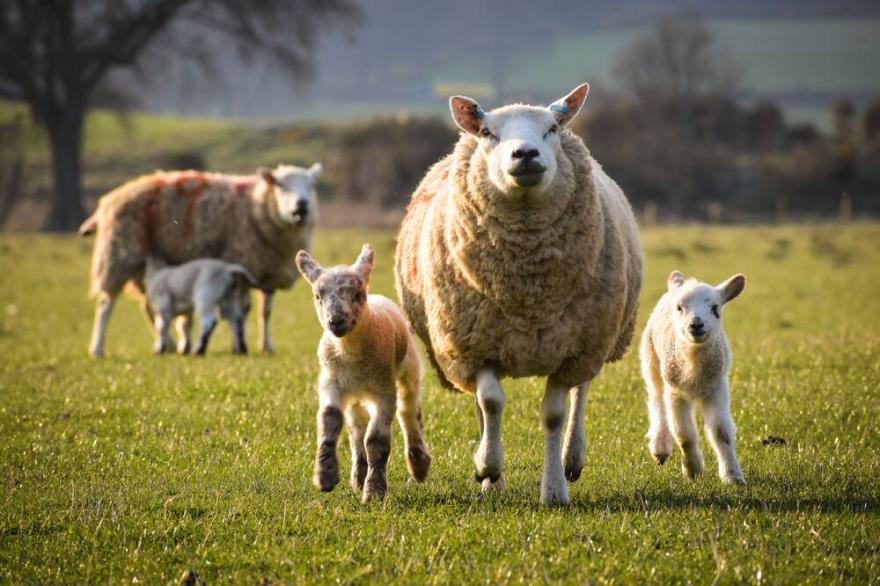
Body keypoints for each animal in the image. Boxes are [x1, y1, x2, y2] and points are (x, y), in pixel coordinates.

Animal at [81, 163, 322, 356]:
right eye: (281, 185)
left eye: (311, 185)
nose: (302, 204)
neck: (255, 208)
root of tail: (110, 199)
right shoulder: (242, 261)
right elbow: (242, 310)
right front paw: (238, 345)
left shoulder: (268, 271)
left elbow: (265, 312)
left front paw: (266, 346)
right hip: (118, 257)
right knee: (106, 305)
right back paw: (98, 348)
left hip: (143, 268)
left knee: (149, 308)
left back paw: (170, 345)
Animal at [298, 244, 432, 500]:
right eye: (318, 296)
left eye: (357, 294)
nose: (336, 320)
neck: (350, 353)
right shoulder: (330, 382)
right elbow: (329, 420)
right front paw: (325, 475)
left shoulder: (384, 391)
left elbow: (377, 441)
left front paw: (374, 490)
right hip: (355, 396)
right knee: (356, 431)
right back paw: (358, 475)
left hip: (408, 370)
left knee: (408, 413)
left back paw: (418, 464)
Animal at [396, 81, 644, 502]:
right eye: (487, 132)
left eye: (552, 129)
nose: (525, 153)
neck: (528, 289)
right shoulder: (473, 346)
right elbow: (490, 403)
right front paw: (488, 468)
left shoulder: (570, 349)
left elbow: (555, 415)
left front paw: (555, 488)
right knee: (482, 406)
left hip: (595, 336)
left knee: (582, 391)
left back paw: (572, 457)